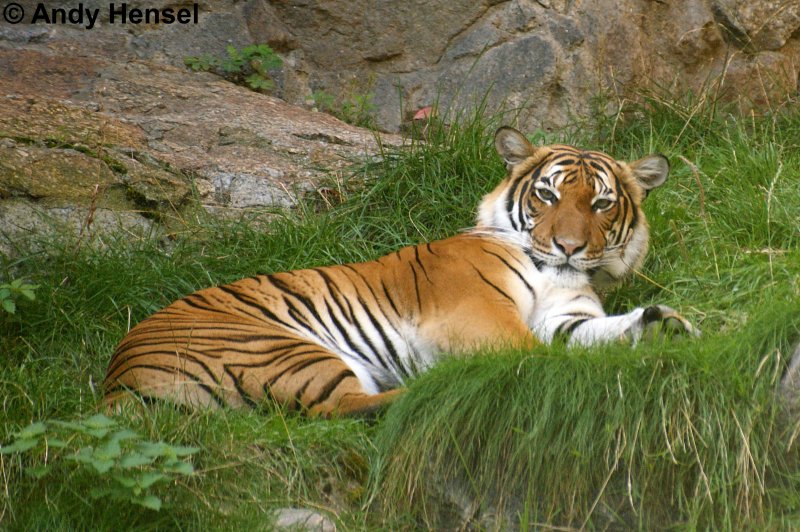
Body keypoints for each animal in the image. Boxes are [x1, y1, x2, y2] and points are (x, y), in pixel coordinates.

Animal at [103, 128, 696, 416]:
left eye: (601, 204)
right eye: (548, 195)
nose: (568, 247)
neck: (562, 273)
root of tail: (115, 379)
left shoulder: (566, 319)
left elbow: (597, 336)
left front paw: (665, 327)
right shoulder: (473, 313)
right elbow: (535, 354)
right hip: (276, 349)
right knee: (340, 409)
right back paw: (432, 385)